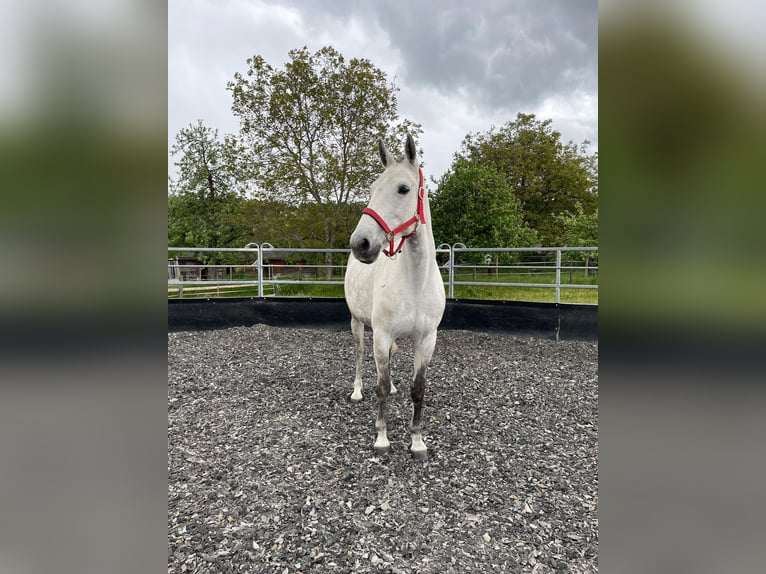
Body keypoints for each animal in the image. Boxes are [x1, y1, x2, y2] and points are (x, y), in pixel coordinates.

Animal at [344, 133, 446, 461]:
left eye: (403, 188)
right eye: (372, 189)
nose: (360, 243)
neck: (415, 282)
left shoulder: (426, 339)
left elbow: (418, 389)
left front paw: (417, 442)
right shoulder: (381, 334)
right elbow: (380, 385)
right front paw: (382, 438)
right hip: (358, 324)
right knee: (360, 356)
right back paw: (356, 390)